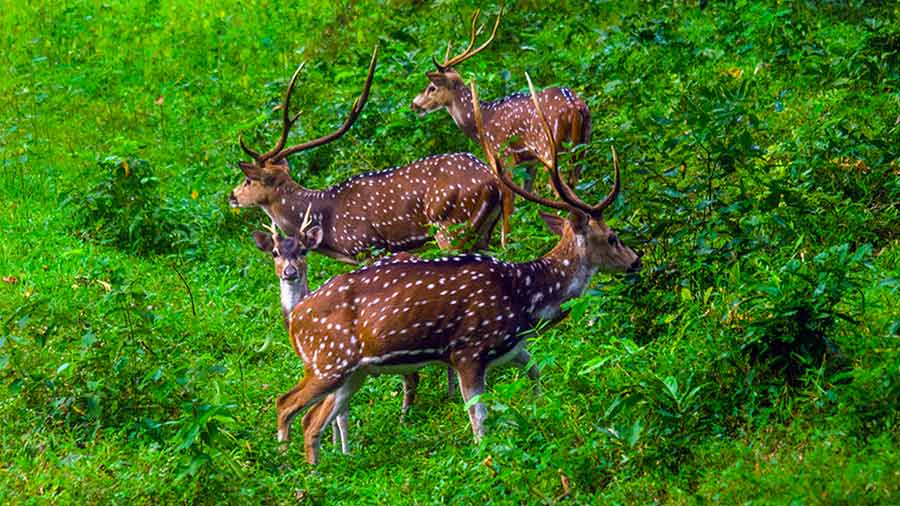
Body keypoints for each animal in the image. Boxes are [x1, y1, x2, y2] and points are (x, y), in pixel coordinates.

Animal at [229, 46, 506, 264]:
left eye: (248, 180)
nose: (231, 196)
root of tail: (492, 182)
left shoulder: (367, 246)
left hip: (450, 225)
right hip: (483, 232)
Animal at [274, 73, 640, 464]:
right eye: (613, 236)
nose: (636, 261)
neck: (525, 297)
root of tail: (295, 319)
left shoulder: (510, 348)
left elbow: (536, 372)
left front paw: (541, 414)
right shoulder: (468, 350)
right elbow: (479, 417)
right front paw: (486, 460)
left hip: (353, 371)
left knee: (312, 419)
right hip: (329, 360)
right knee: (286, 404)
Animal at [412, 9, 596, 243]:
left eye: (432, 87)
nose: (414, 104)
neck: (480, 122)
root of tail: (576, 107)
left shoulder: (503, 157)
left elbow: (509, 207)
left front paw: (506, 244)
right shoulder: (528, 162)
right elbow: (527, 199)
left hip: (549, 147)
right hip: (582, 145)